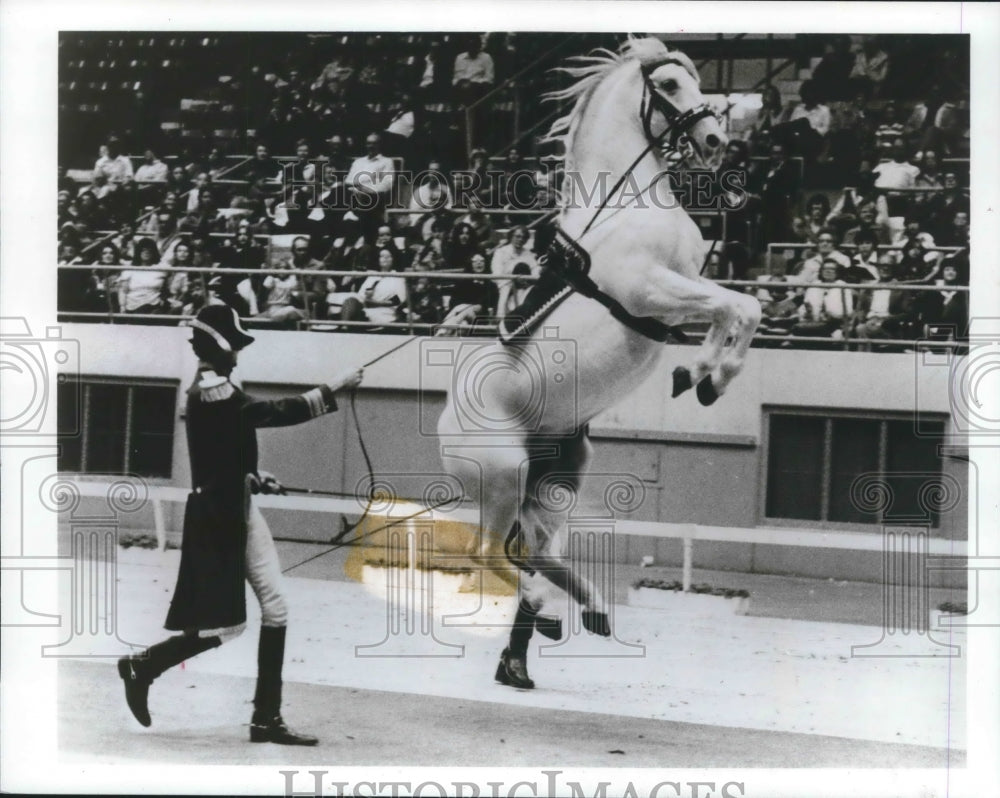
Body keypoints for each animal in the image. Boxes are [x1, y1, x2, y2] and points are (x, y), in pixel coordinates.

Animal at [436, 36, 756, 688]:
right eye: (670, 85)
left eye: (696, 78)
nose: (716, 140)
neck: (626, 205)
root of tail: (443, 421)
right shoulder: (650, 290)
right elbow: (737, 306)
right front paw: (707, 378)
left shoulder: (684, 288)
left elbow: (740, 309)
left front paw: (699, 375)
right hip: (502, 476)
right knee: (491, 556)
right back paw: (546, 613)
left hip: (555, 482)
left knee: (535, 554)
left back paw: (573, 620)